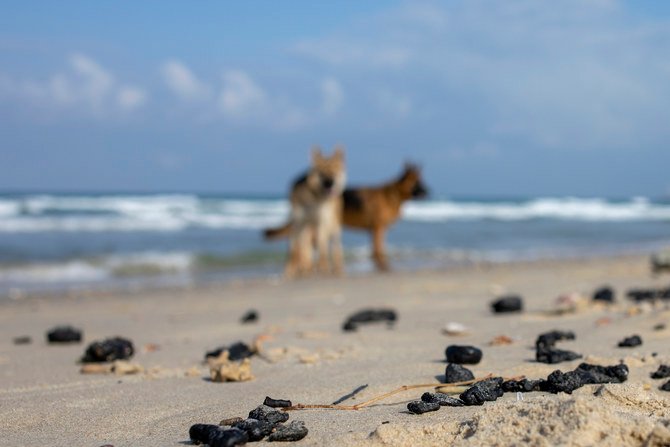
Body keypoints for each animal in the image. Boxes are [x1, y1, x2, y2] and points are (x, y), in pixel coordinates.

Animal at [264, 163, 428, 272]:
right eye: (418, 182)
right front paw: (384, 267)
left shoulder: (375, 230)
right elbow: (378, 250)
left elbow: (376, 250)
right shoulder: (377, 228)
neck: (390, 194)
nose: (429, 191)